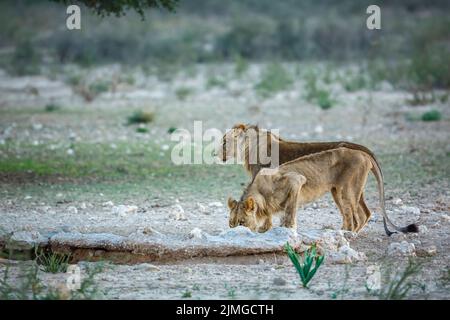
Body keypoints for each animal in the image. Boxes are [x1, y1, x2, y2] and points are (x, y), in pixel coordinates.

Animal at [229, 148, 418, 235]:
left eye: (242, 222)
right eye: (231, 224)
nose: (233, 232)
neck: (260, 191)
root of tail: (363, 153)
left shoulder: (297, 180)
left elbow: (290, 211)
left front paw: (287, 229)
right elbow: (270, 215)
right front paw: (265, 228)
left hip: (346, 190)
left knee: (356, 217)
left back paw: (348, 235)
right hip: (340, 191)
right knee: (363, 213)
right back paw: (342, 232)